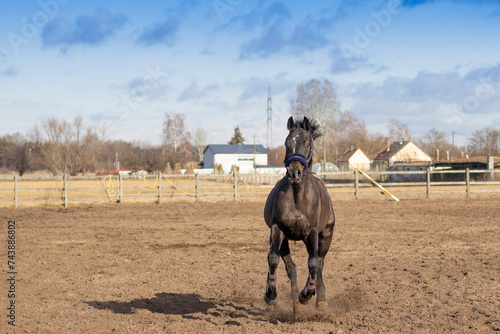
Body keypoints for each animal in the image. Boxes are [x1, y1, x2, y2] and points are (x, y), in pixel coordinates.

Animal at [264, 116, 334, 312]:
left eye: (307, 144)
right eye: (287, 143)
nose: (294, 172)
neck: (297, 196)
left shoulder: (312, 233)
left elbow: (313, 263)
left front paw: (307, 295)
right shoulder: (278, 230)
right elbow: (274, 259)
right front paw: (271, 295)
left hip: (325, 235)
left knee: (319, 263)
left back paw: (320, 298)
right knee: (291, 267)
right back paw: (295, 300)